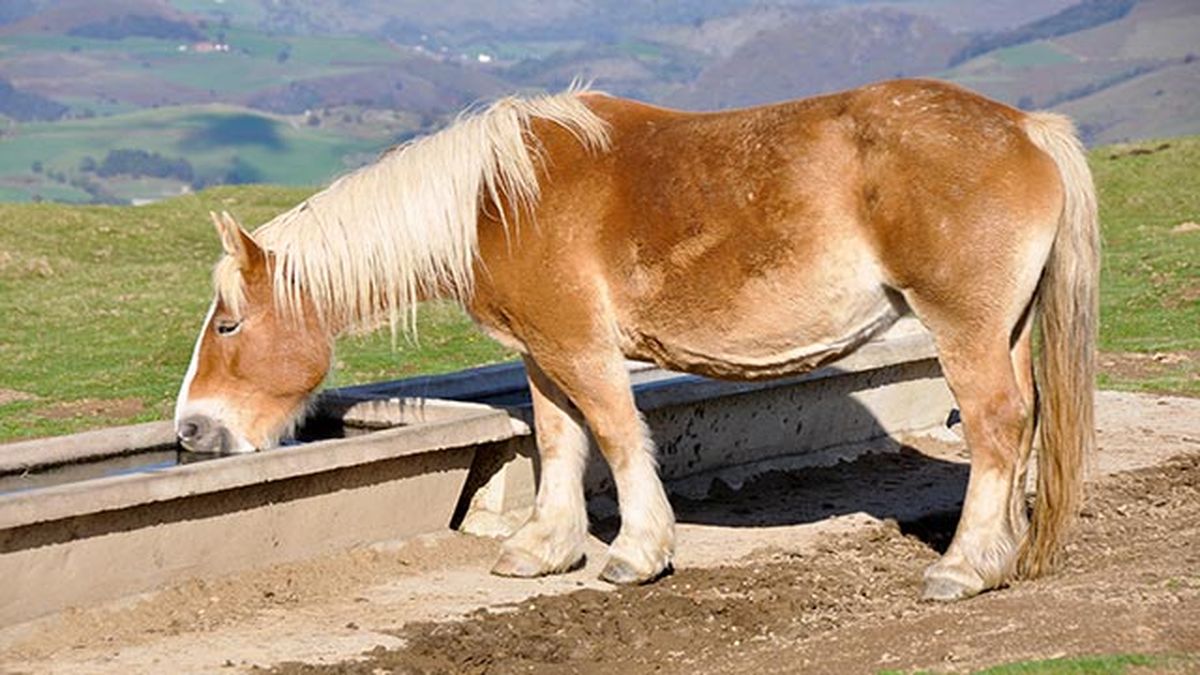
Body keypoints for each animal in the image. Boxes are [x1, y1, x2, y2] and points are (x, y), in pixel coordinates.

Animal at [174, 78, 1098, 601]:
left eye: (228, 322)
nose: (192, 428)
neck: (498, 198)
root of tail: (1027, 127)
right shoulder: (543, 353)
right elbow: (558, 441)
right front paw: (544, 549)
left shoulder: (582, 349)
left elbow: (617, 437)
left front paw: (637, 553)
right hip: (1007, 330)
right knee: (1019, 427)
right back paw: (1002, 552)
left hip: (965, 330)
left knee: (995, 428)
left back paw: (964, 565)